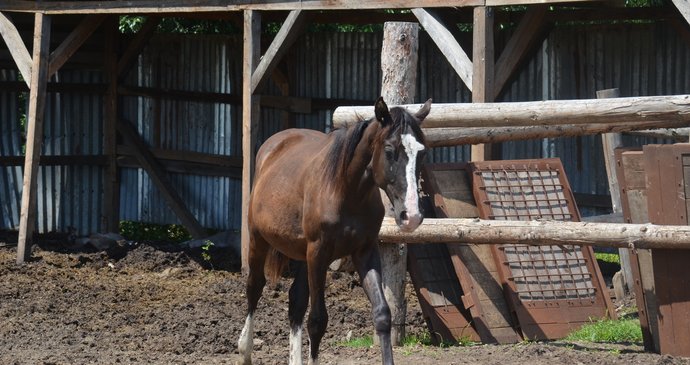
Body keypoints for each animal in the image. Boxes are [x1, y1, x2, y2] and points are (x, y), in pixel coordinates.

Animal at [236, 96, 430, 364]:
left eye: (422, 152)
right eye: (390, 151)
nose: (411, 216)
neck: (345, 190)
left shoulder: (364, 252)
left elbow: (382, 314)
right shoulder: (319, 253)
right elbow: (318, 321)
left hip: (302, 255)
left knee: (295, 302)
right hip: (259, 240)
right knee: (254, 287)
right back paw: (244, 350)